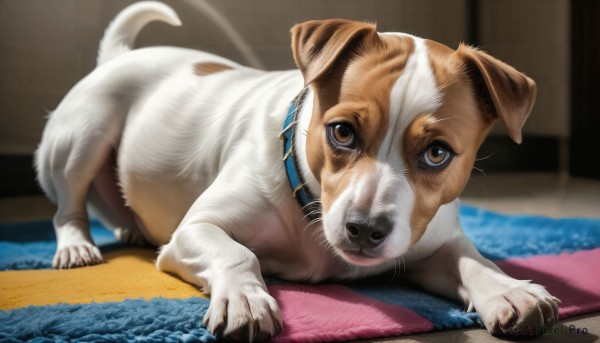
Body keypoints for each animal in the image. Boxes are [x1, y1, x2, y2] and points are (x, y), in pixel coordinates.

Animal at [35, 2, 560, 342]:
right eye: (342, 132)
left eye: (437, 154)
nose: (365, 229)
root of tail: (122, 55)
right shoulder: (195, 229)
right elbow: (238, 253)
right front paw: (246, 299)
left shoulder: (433, 244)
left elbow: (473, 261)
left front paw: (512, 290)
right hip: (82, 135)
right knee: (67, 208)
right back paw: (77, 246)